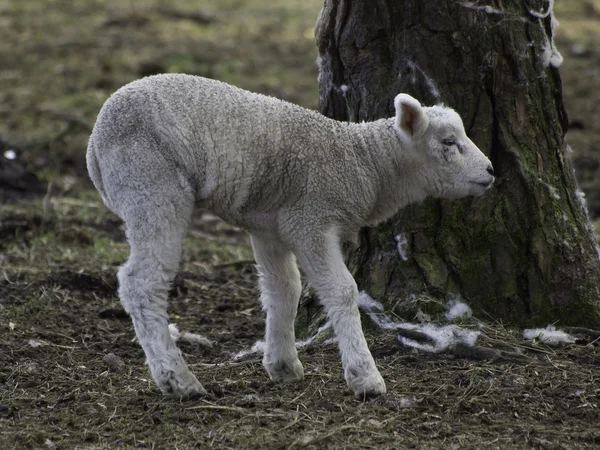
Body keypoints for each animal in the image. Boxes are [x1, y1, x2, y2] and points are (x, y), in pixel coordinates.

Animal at [86, 74, 494, 398]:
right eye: (448, 142)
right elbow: (342, 290)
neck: (365, 163)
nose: (490, 170)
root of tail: (94, 143)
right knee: (142, 284)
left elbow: (285, 288)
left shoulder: (271, 225)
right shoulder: (310, 219)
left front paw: (282, 364)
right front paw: (365, 377)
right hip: (153, 187)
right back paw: (177, 379)